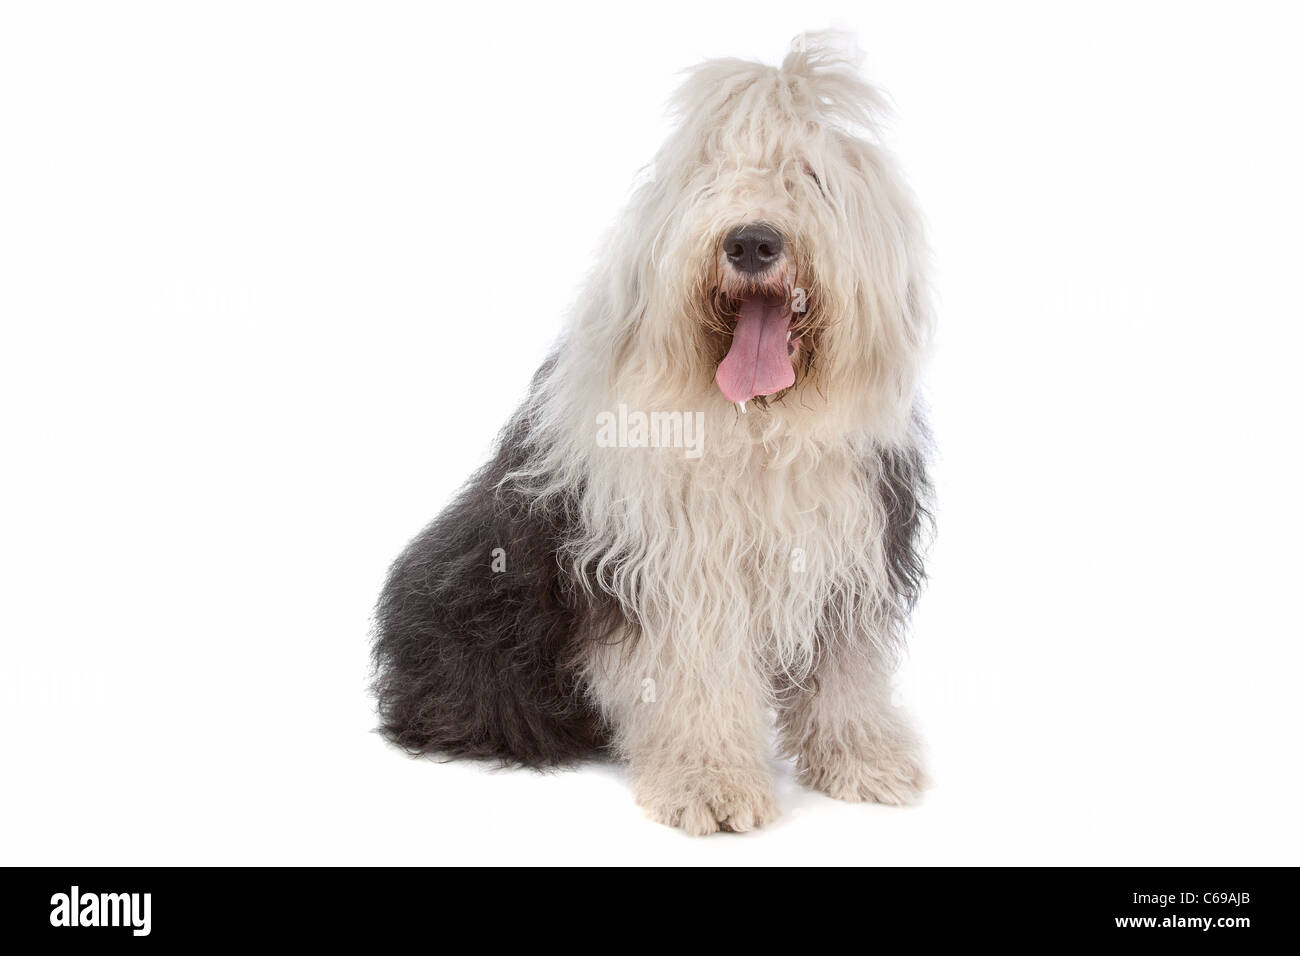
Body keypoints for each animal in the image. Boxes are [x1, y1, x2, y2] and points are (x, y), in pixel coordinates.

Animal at [371, 33, 930, 832]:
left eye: (809, 176)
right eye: (711, 179)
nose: (752, 242)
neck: (755, 424)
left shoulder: (847, 547)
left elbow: (845, 669)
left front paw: (864, 759)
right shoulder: (672, 568)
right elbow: (693, 676)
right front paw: (711, 784)